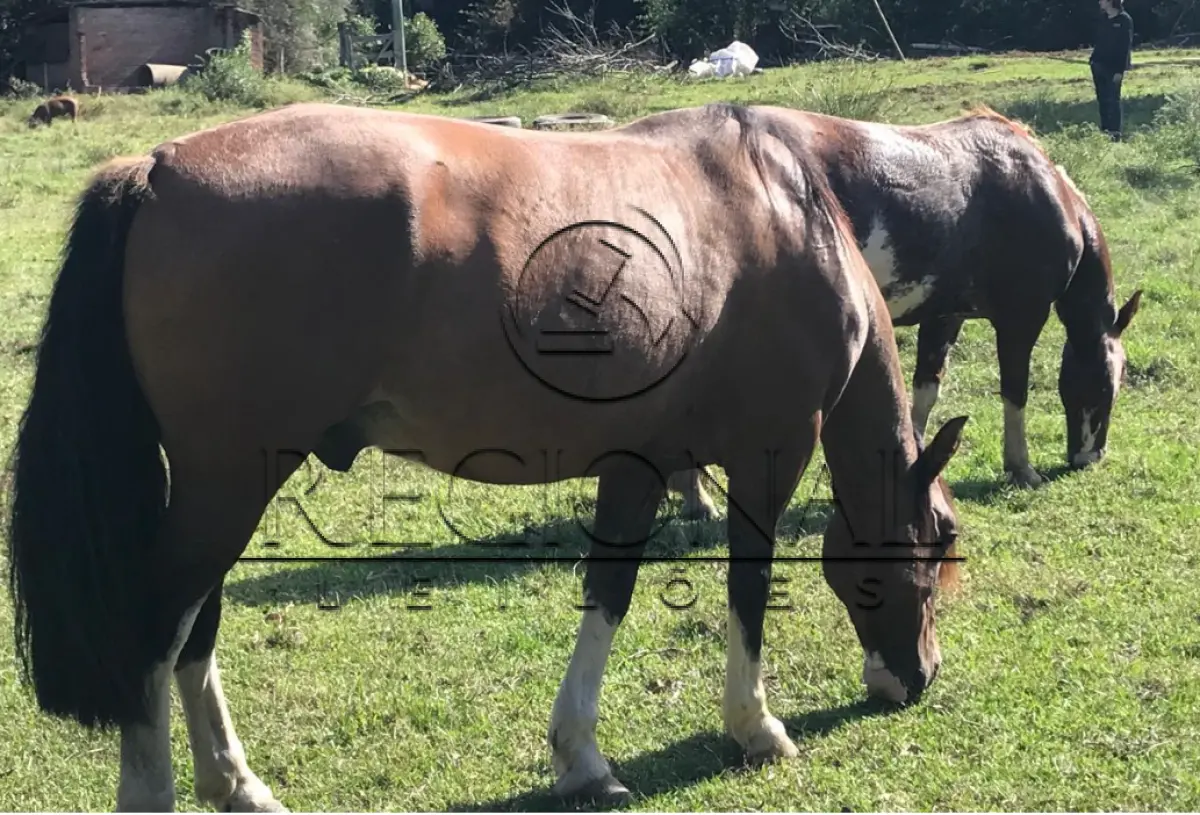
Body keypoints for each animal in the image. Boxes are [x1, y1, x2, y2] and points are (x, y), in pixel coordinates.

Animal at [6, 101, 967, 811]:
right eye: (933, 553)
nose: (919, 678)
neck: (783, 209)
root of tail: (159, 168)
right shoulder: (772, 451)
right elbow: (749, 588)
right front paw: (755, 726)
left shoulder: (636, 462)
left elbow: (608, 592)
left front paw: (582, 757)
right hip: (229, 480)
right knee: (160, 625)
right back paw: (159, 788)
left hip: (226, 482)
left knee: (193, 626)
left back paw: (235, 782)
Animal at [670, 105, 1141, 522]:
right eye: (1110, 384)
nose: (1090, 457)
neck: (1038, 188)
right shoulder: (1020, 319)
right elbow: (1015, 392)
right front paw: (1021, 468)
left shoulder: (945, 316)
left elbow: (926, 390)